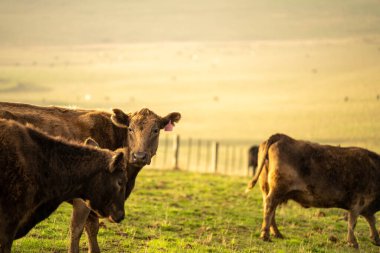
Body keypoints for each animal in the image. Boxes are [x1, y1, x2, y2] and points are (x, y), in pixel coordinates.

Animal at [246, 133, 380, 248]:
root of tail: (281, 136)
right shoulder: (358, 203)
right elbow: (353, 223)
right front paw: (353, 242)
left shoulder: (366, 207)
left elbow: (372, 220)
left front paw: (376, 239)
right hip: (277, 190)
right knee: (270, 206)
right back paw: (265, 235)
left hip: (268, 189)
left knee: (270, 209)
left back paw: (277, 234)